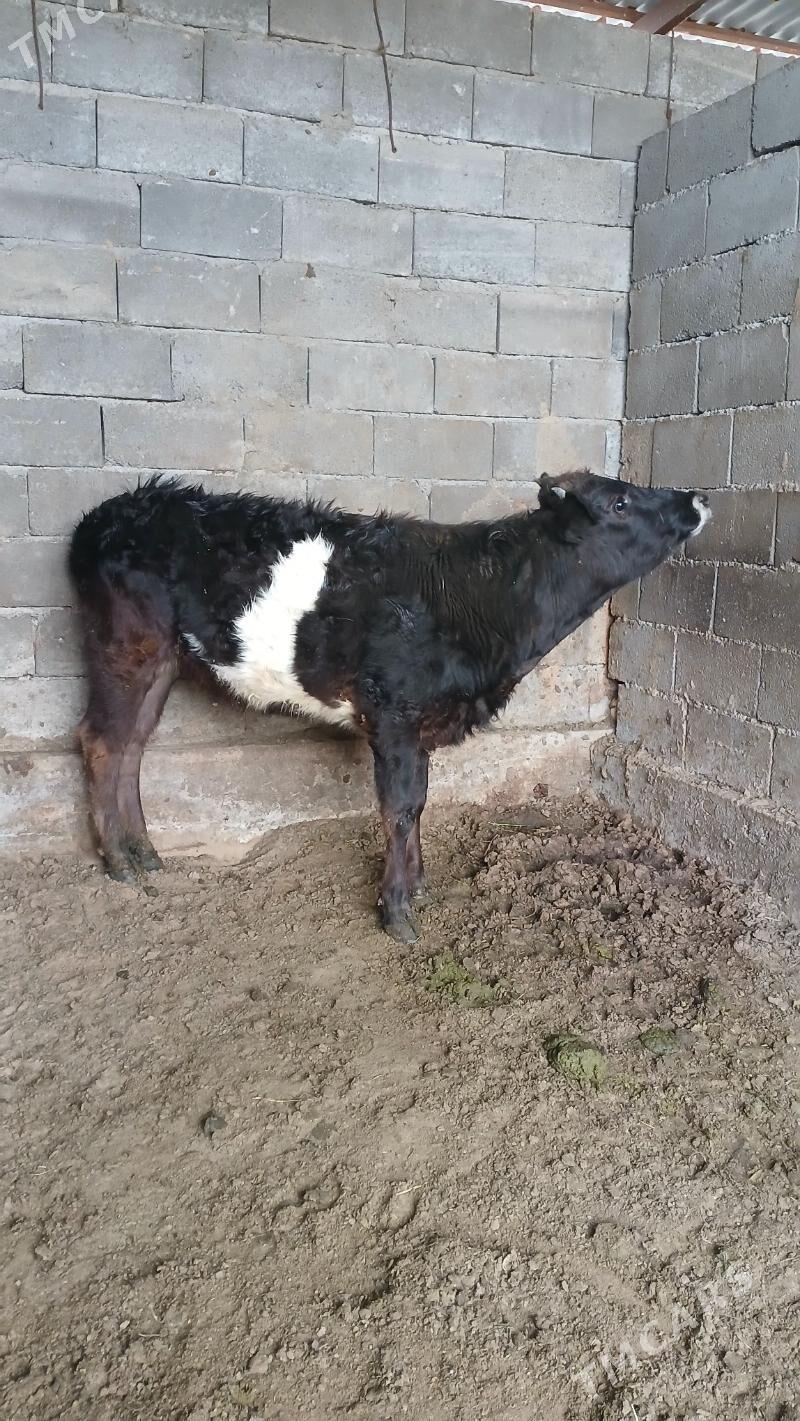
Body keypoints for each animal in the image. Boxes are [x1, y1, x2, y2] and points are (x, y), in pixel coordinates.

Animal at [68, 471, 710, 943]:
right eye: (621, 501)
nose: (698, 497)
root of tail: (115, 510)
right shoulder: (394, 713)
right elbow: (400, 808)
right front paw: (397, 910)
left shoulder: (419, 723)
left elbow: (420, 803)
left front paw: (418, 883)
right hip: (126, 646)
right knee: (101, 739)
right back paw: (119, 862)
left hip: (164, 661)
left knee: (133, 744)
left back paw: (146, 854)